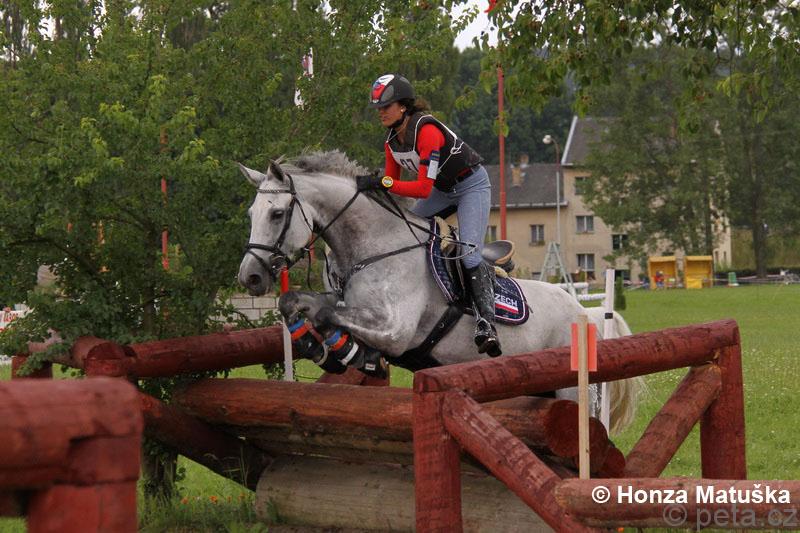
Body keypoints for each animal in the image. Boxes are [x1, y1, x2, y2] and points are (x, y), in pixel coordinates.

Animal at [237, 151, 641, 434]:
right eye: (250, 213)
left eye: (276, 214)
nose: (250, 277)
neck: (376, 247)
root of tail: (586, 314)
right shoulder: (351, 304)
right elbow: (297, 302)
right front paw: (322, 347)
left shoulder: (394, 330)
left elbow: (325, 313)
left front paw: (346, 351)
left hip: (572, 391)